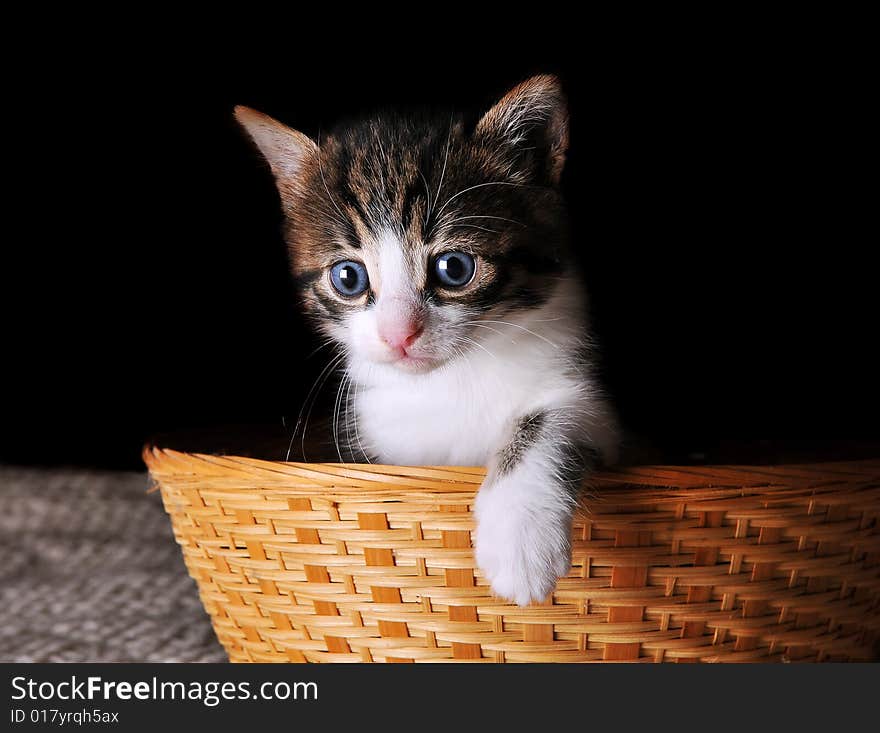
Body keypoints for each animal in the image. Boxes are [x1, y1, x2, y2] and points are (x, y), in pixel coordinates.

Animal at [234, 76, 620, 608]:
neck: (447, 382)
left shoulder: (601, 413)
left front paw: (519, 537)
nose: (399, 334)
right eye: (348, 277)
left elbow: (551, 416)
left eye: (454, 268)